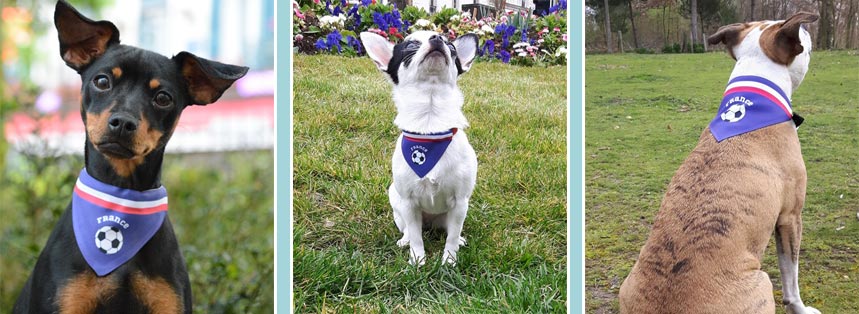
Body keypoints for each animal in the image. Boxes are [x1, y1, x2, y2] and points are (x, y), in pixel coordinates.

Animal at [362, 31, 480, 264]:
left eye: (452, 47)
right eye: (411, 45)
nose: (438, 38)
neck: (429, 123)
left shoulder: (460, 202)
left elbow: (451, 237)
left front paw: (449, 261)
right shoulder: (409, 203)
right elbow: (417, 237)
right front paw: (417, 260)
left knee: (450, 230)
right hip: (397, 204)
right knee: (410, 229)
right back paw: (405, 240)